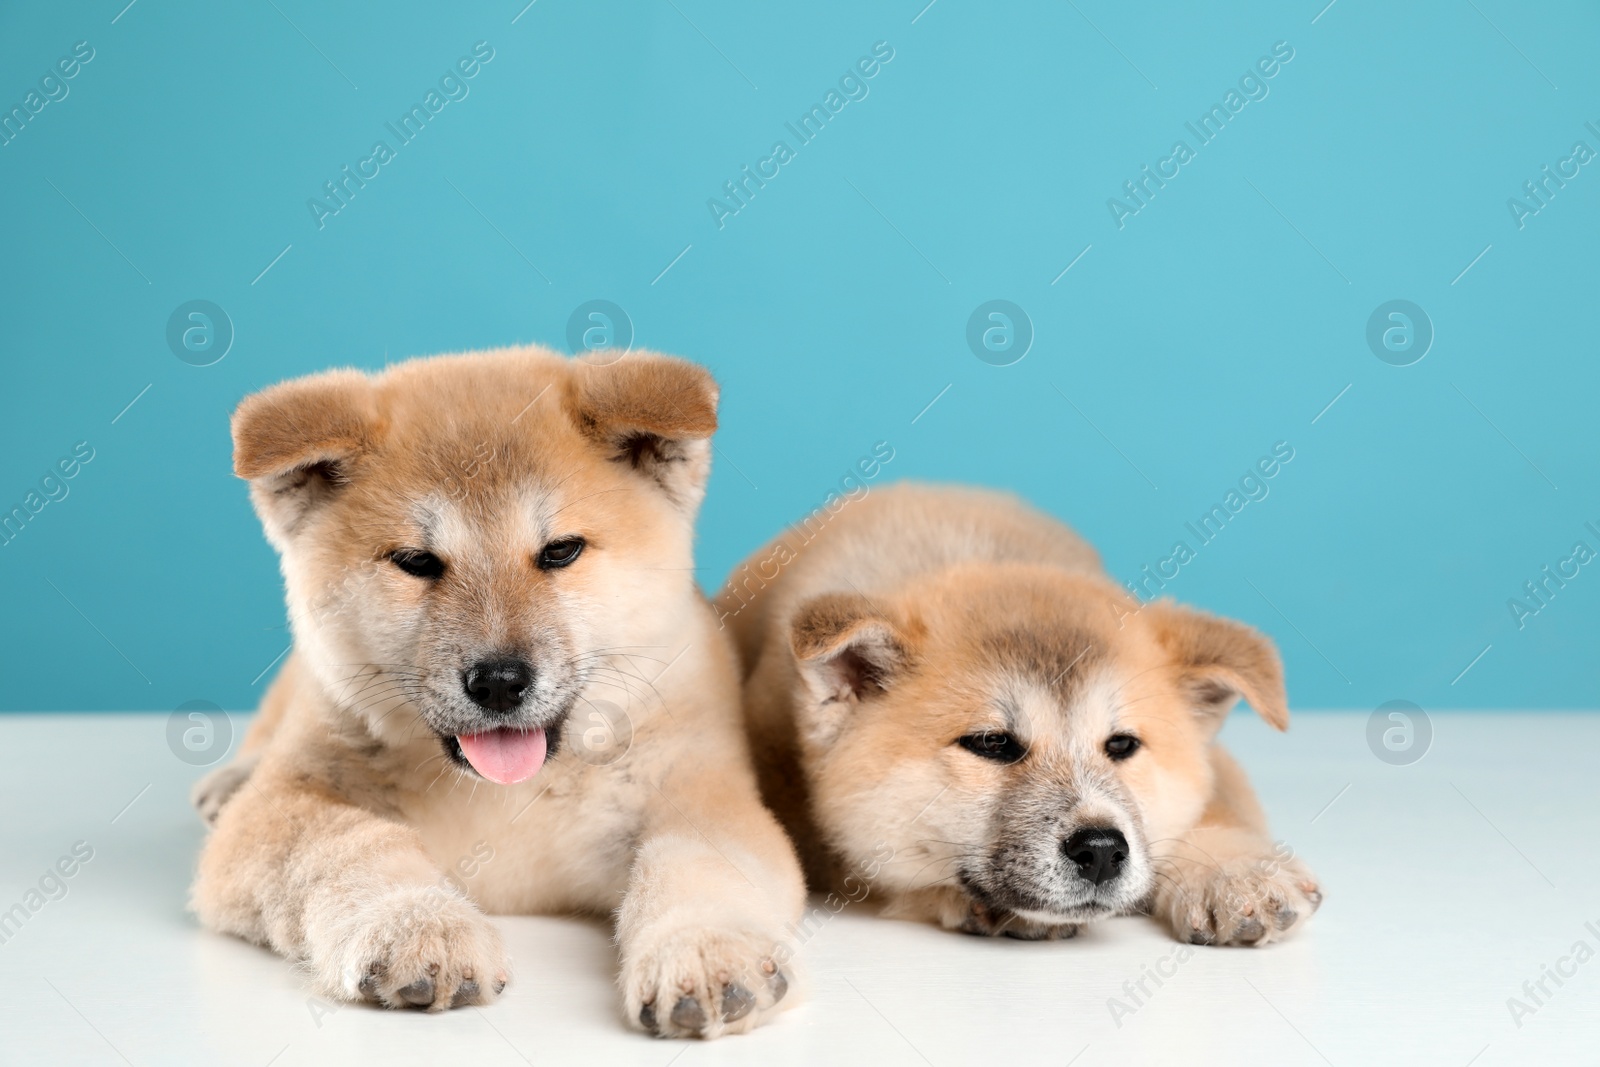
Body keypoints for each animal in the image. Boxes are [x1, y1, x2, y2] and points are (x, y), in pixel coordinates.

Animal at [192, 350, 806, 1043]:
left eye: (561, 551)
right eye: (416, 561)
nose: (499, 681)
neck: (510, 796)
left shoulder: (704, 794)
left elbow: (697, 865)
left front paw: (704, 950)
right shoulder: (280, 809)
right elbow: (348, 847)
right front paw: (420, 926)